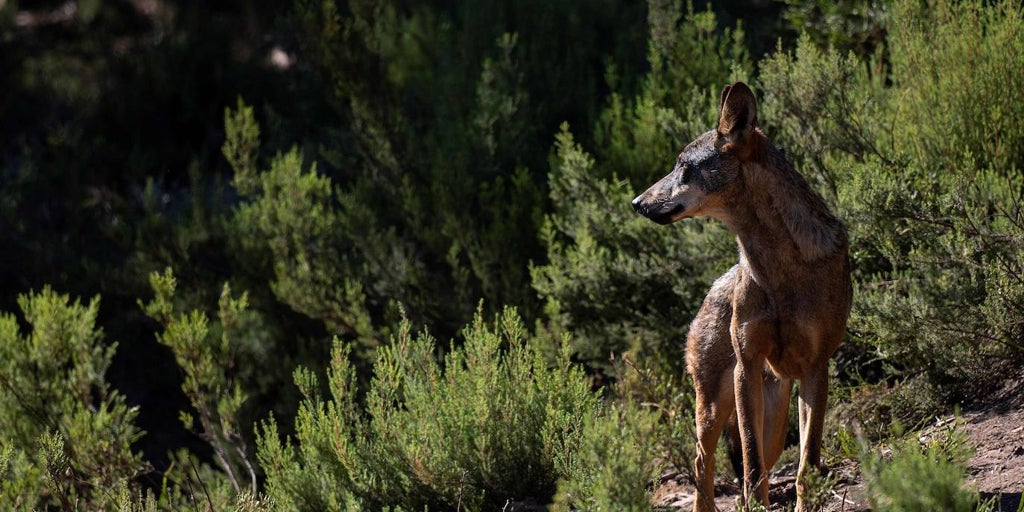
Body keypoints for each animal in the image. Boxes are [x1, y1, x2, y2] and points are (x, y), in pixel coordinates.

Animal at [631, 82, 852, 511]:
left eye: (683, 167)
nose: (636, 202)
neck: (779, 274)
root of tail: (714, 287)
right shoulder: (745, 367)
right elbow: (751, 470)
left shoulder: (817, 368)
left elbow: (806, 466)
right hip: (714, 407)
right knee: (703, 465)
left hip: (776, 419)